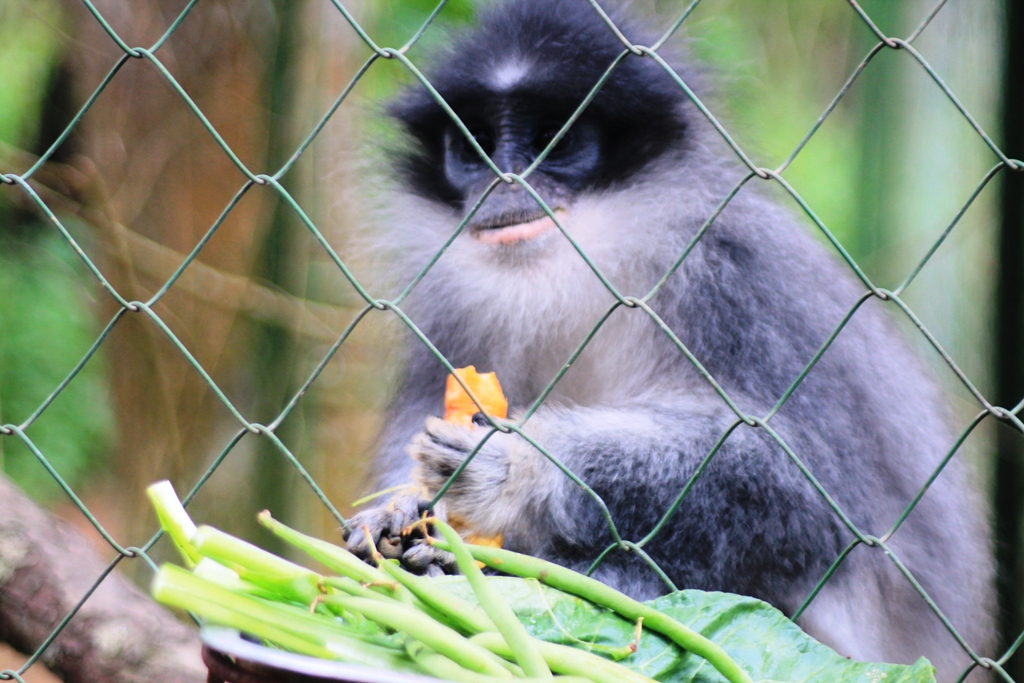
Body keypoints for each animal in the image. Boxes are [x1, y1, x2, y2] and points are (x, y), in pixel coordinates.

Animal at [342, 0, 991, 679]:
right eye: (475, 147)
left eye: (556, 139)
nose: (504, 180)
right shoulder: (448, 310)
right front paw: (397, 509)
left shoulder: (735, 278)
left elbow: (803, 498)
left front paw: (518, 467)